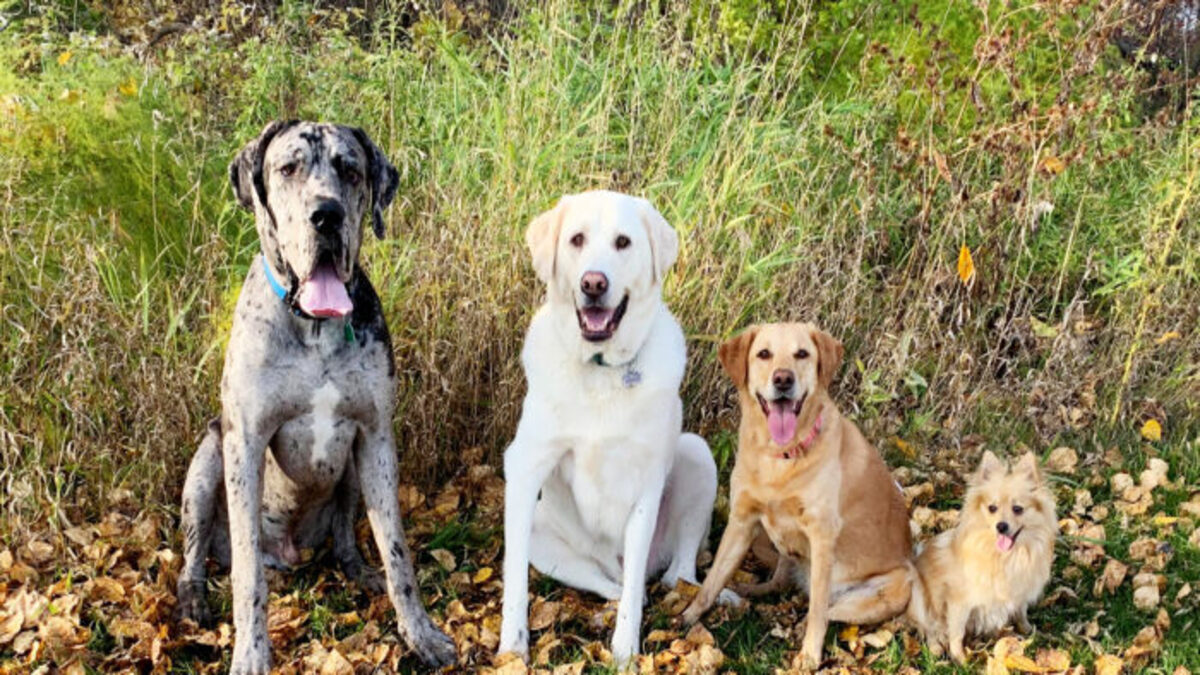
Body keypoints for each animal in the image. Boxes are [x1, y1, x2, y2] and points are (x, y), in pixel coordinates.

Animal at [907, 449, 1060, 658]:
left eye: (1018, 509)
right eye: (992, 508)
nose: (1001, 526)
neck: (1006, 557)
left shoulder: (1020, 593)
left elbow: (1021, 612)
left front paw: (1029, 631)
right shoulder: (959, 602)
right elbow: (956, 633)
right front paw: (960, 658)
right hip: (920, 596)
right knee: (929, 626)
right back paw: (935, 647)